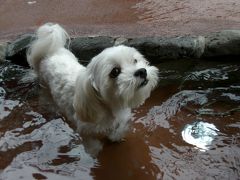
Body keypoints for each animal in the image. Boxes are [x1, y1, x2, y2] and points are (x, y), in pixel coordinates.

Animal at [27, 23, 158, 156]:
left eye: (135, 60)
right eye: (115, 72)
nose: (142, 71)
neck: (109, 106)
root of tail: (50, 52)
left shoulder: (122, 117)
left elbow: (119, 128)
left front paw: (115, 137)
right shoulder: (85, 128)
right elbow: (90, 142)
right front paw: (95, 150)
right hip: (45, 88)